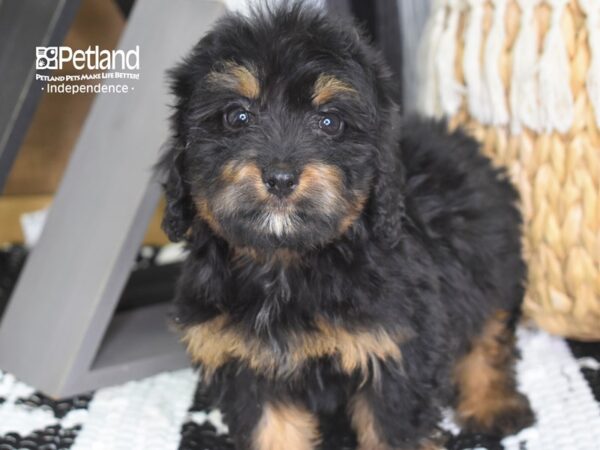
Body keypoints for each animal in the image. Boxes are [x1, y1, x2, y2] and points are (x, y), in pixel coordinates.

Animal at [156, 4, 536, 450]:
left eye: (329, 122)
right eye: (236, 116)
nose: (280, 177)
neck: (285, 264)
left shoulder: (395, 348)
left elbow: (396, 430)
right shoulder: (247, 363)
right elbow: (272, 431)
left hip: (493, 263)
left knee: (489, 332)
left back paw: (492, 404)